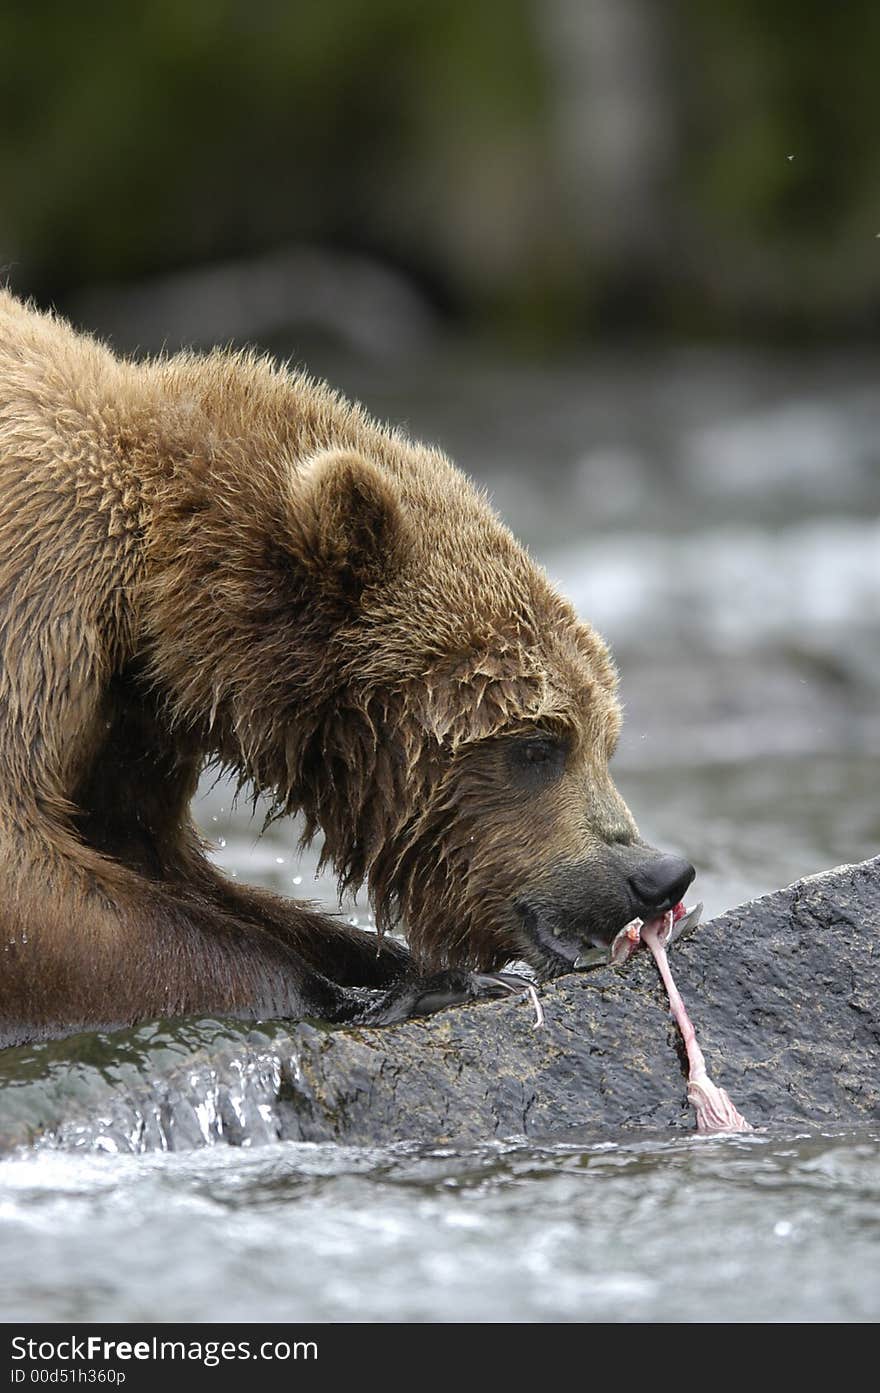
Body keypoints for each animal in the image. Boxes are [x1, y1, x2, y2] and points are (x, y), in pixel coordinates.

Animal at [0, 291, 693, 1047]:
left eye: (607, 737)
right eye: (537, 744)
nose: (658, 872)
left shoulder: (132, 718)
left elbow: (150, 854)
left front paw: (388, 964)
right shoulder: (42, 588)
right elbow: (32, 880)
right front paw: (399, 988)